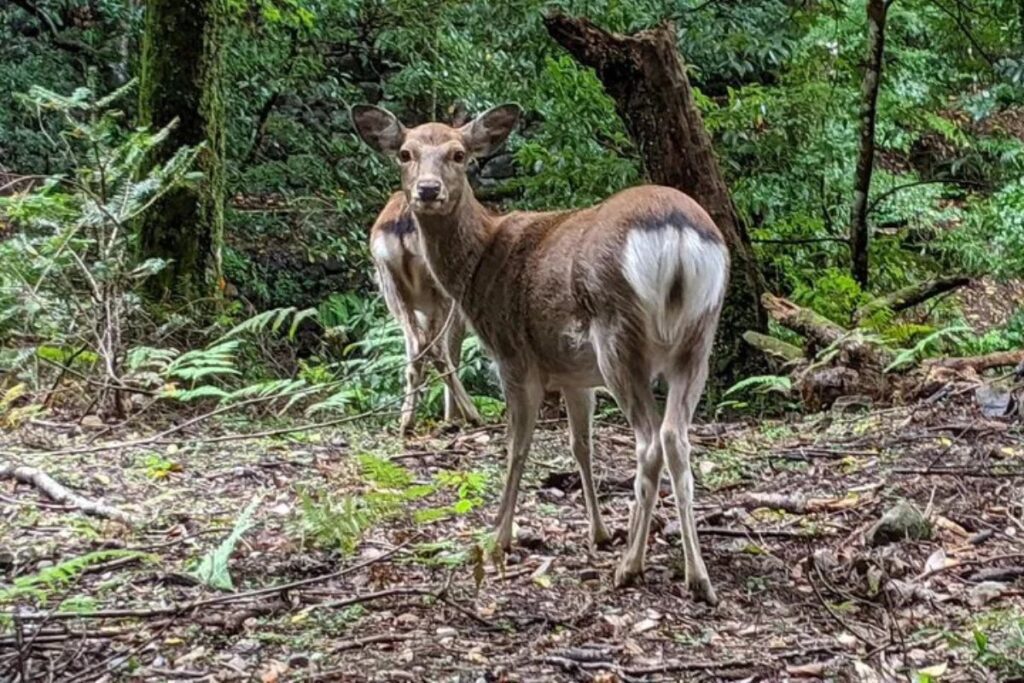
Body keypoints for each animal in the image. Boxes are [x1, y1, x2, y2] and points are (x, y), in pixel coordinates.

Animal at [370, 190, 482, 435]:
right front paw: (451, 417)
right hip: (440, 290)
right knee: (436, 347)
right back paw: (473, 416)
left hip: (392, 287)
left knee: (417, 345)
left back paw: (406, 422)